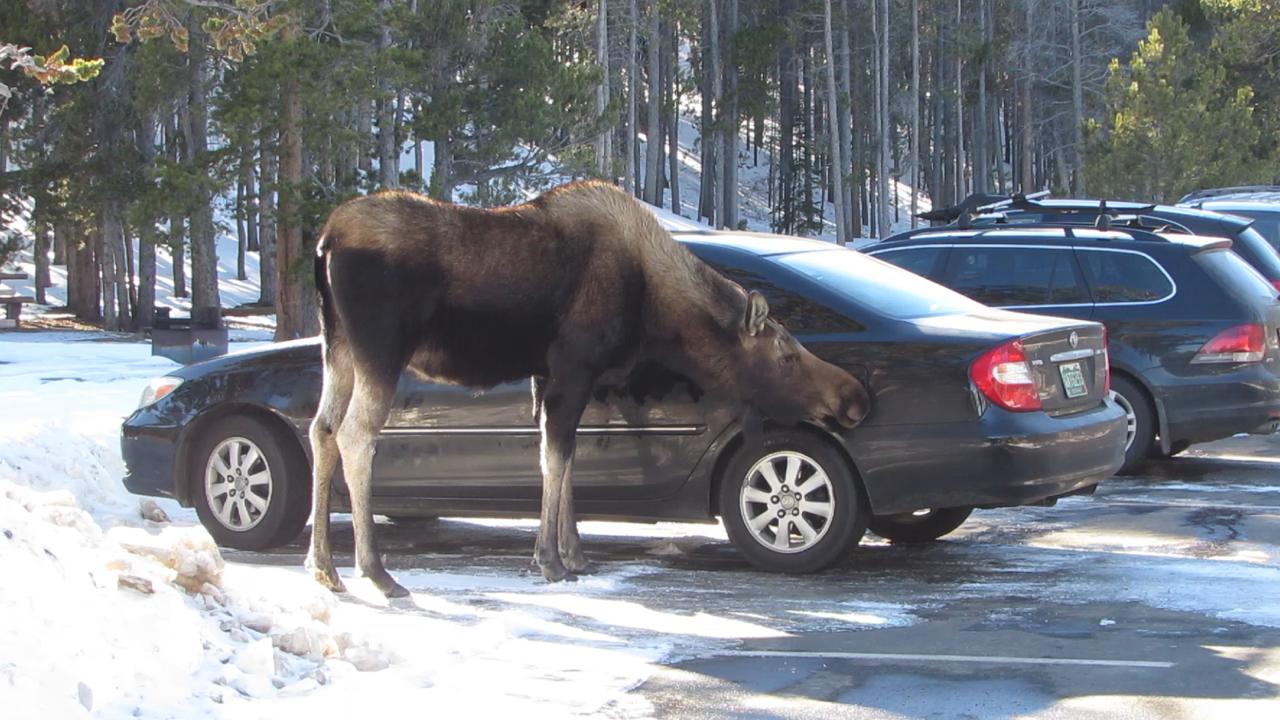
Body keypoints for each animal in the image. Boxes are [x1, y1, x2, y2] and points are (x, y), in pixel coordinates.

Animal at [308, 179, 870, 594]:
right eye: (787, 355)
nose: (854, 398)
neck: (654, 312)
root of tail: (325, 240)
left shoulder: (550, 376)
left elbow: (565, 459)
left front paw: (574, 554)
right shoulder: (573, 368)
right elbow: (556, 460)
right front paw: (550, 560)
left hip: (337, 347)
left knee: (321, 429)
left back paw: (324, 567)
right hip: (380, 349)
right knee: (355, 435)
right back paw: (375, 571)